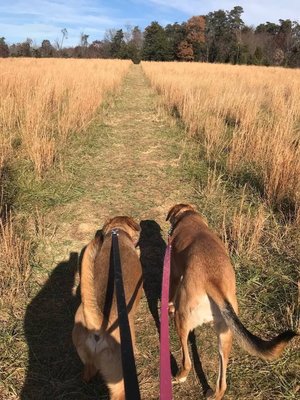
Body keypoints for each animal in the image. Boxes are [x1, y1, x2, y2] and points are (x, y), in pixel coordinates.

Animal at [168, 205, 296, 400]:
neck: (190, 216)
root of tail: (214, 281)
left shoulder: (174, 275)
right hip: (226, 335)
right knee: (222, 383)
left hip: (182, 320)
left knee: (187, 360)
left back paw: (180, 376)